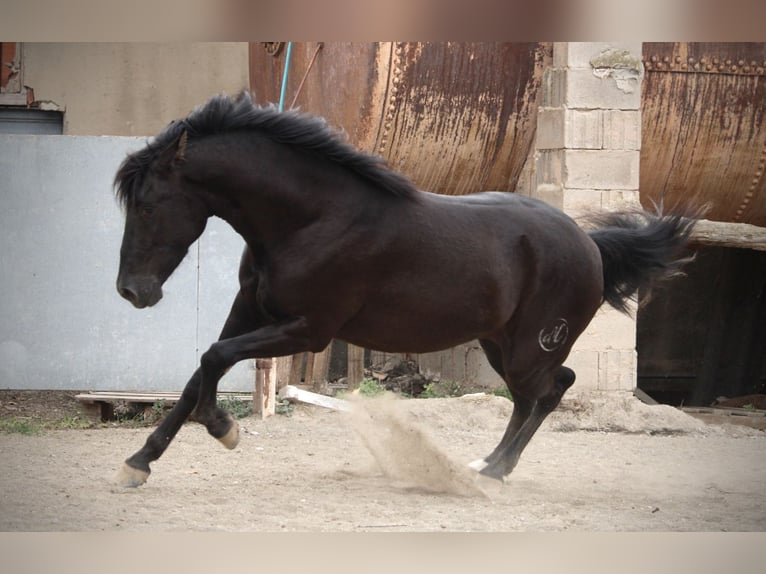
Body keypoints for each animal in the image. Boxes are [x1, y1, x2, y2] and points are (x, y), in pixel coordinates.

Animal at [112, 92, 696, 488]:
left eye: (147, 205)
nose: (131, 292)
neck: (311, 219)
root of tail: (591, 244)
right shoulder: (247, 312)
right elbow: (199, 372)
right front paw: (139, 463)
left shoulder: (308, 330)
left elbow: (213, 359)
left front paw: (223, 427)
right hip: (499, 344)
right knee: (533, 396)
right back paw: (486, 464)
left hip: (530, 347)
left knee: (550, 390)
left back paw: (494, 471)